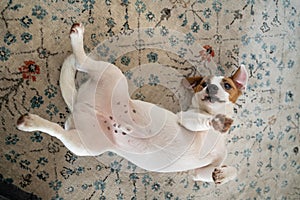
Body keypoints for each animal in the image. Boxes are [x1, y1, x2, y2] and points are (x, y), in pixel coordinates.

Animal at [17, 23, 250, 184]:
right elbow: (202, 118)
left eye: (227, 85)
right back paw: (76, 39)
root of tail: (80, 103)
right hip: (113, 74)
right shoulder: (187, 118)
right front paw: (216, 121)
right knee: (81, 62)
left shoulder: (200, 173)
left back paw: (30, 122)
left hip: (85, 144)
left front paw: (223, 174)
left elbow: (222, 172)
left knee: (59, 131)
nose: (210, 88)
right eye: (202, 84)